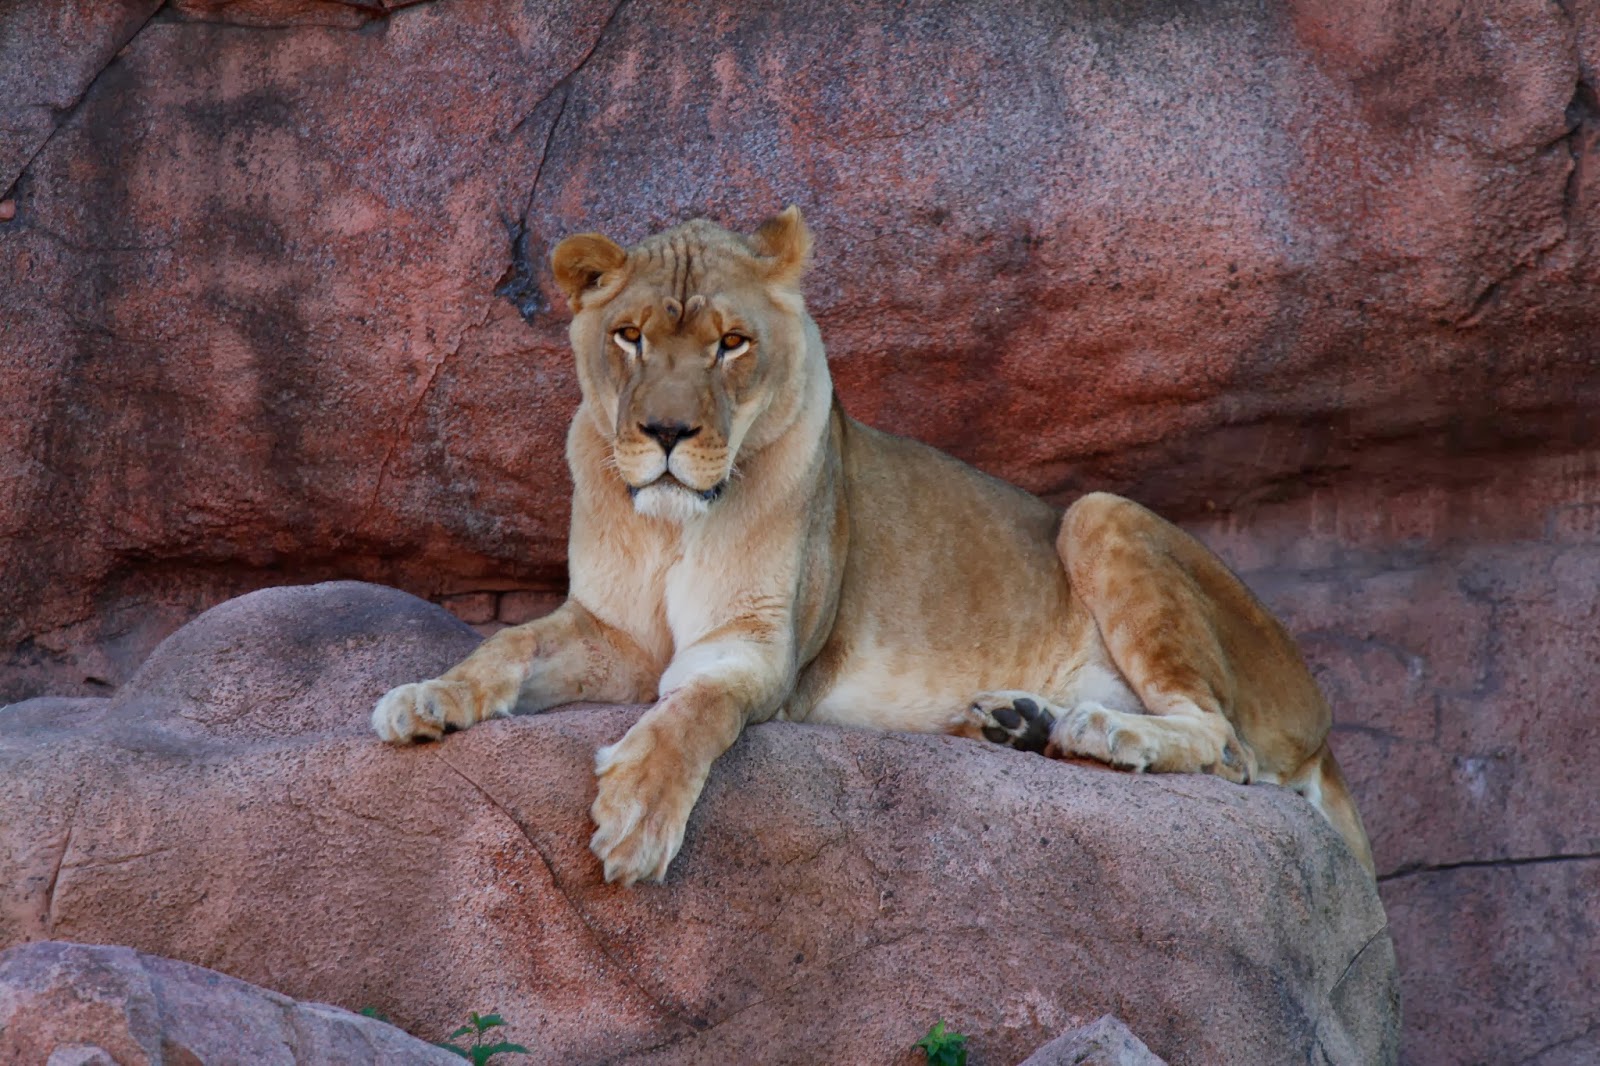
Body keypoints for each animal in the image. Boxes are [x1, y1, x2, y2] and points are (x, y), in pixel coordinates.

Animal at [372, 206, 1375, 885]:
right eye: (628, 336)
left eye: (731, 343)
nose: (663, 433)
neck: (670, 525)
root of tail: (1323, 719)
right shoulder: (613, 633)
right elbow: (506, 645)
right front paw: (426, 698)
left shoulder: (754, 649)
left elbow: (694, 715)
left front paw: (638, 817)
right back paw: (1020, 722)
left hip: (1099, 511)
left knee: (1224, 745)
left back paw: (1094, 728)